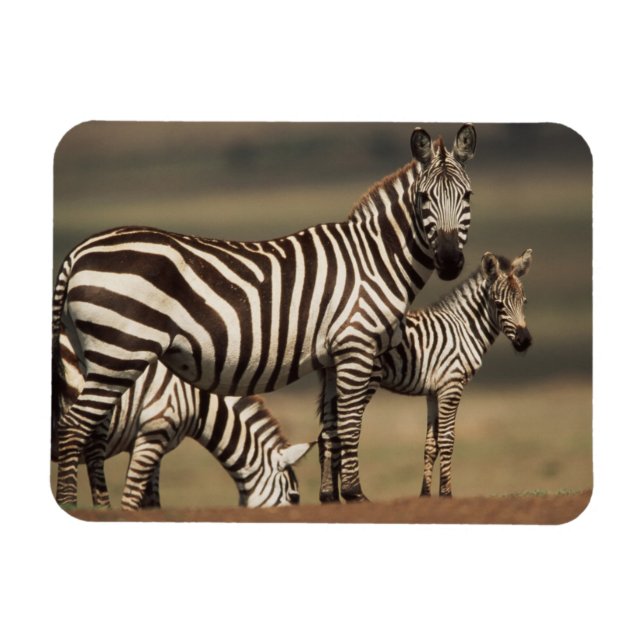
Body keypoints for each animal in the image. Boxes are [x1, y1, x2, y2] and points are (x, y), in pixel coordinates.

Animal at [53, 328, 313, 509]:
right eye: (294, 497)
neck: (196, 399)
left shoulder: (152, 443)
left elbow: (152, 504)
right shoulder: (155, 429)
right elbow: (131, 501)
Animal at [372, 248, 533, 497]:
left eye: (524, 301)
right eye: (498, 304)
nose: (524, 341)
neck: (464, 328)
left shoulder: (432, 391)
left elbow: (431, 444)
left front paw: (425, 495)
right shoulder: (451, 384)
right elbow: (447, 440)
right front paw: (446, 494)